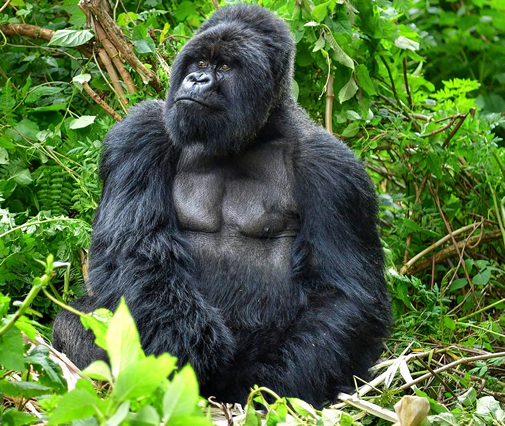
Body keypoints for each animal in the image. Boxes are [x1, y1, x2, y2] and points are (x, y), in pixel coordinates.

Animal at [53, 4, 392, 410]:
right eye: (200, 61)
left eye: (226, 67)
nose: (197, 79)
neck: (253, 135)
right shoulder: (140, 132)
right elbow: (134, 250)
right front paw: (185, 346)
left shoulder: (335, 171)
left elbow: (344, 295)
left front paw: (264, 385)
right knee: (74, 322)